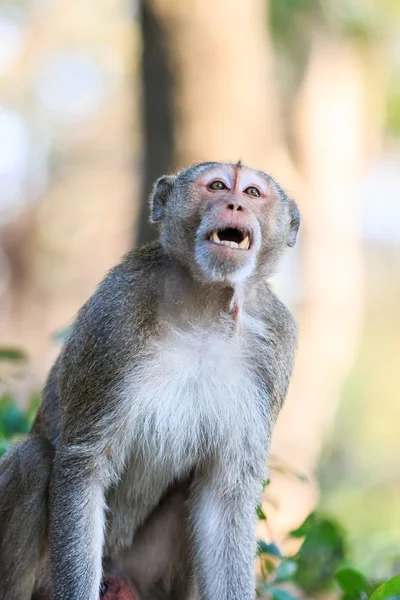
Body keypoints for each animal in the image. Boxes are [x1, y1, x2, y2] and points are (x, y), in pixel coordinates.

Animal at [0, 161, 300, 600]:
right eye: (217, 185)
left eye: (252, 193)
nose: (235, 204)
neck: (204, 307)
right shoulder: (115, 314)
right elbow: (83, 465)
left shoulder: (275, 349)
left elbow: (224, 497)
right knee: (33, 460)